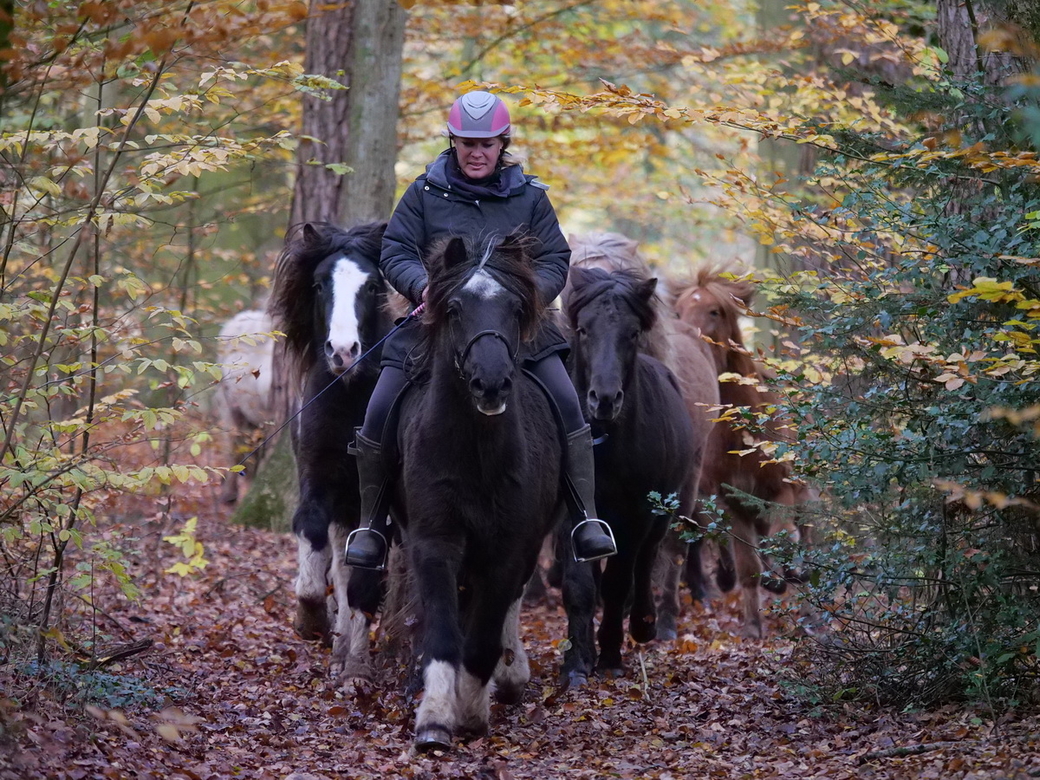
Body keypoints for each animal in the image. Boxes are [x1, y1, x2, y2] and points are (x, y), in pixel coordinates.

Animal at [268, 221, 393, 682]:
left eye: (373, 285)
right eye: (320, 284)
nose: (342, 352)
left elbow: (363, 582)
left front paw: (358, 669)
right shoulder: (319, 480)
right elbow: (310, 534)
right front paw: (311, 621)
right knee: (339, 566)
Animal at [391, 231, 565, 752]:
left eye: (514, 307)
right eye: (453, 308)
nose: (490, 383)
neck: (475, 453)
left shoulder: (510, 547)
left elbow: (484, 635)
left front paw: (472, 710)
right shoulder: (435, 541)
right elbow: (444, 634)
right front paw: (434, 718)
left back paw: (509, 675)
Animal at [669, 266, 815, 636]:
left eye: (714, 311)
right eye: (677, 311)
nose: (689, 338)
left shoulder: (780, 491)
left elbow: (784, 536)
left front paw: (787, 574)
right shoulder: (732, 501)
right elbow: (748, 565)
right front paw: (752, 625)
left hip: (804, 495)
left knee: (805, 537)